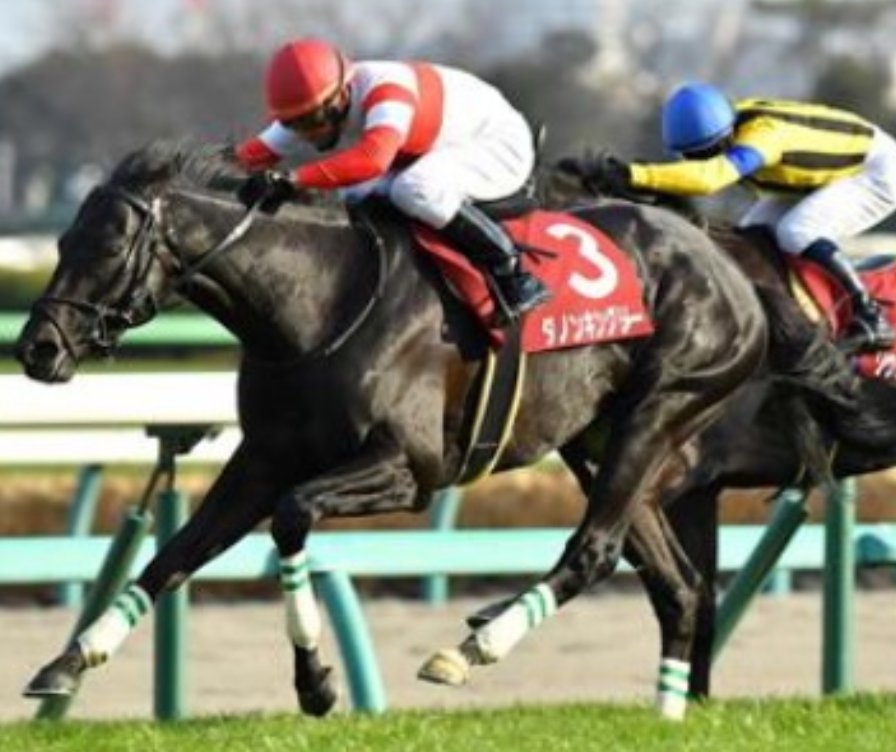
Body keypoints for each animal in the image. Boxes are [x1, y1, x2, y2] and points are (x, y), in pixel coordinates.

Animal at [16, 140, 768, 721]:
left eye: (111, 246)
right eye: (61, 241)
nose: (37, 349)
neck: (319, 300)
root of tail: (718, 258)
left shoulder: (411, 469)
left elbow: (291, 517)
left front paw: (316, 685)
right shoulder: (262, 458)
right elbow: (174, 554)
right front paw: (69, 659)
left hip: (659, 408)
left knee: (595, 551)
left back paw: (471, 649)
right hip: (596, 442)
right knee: (675, 584)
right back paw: (668, 710)